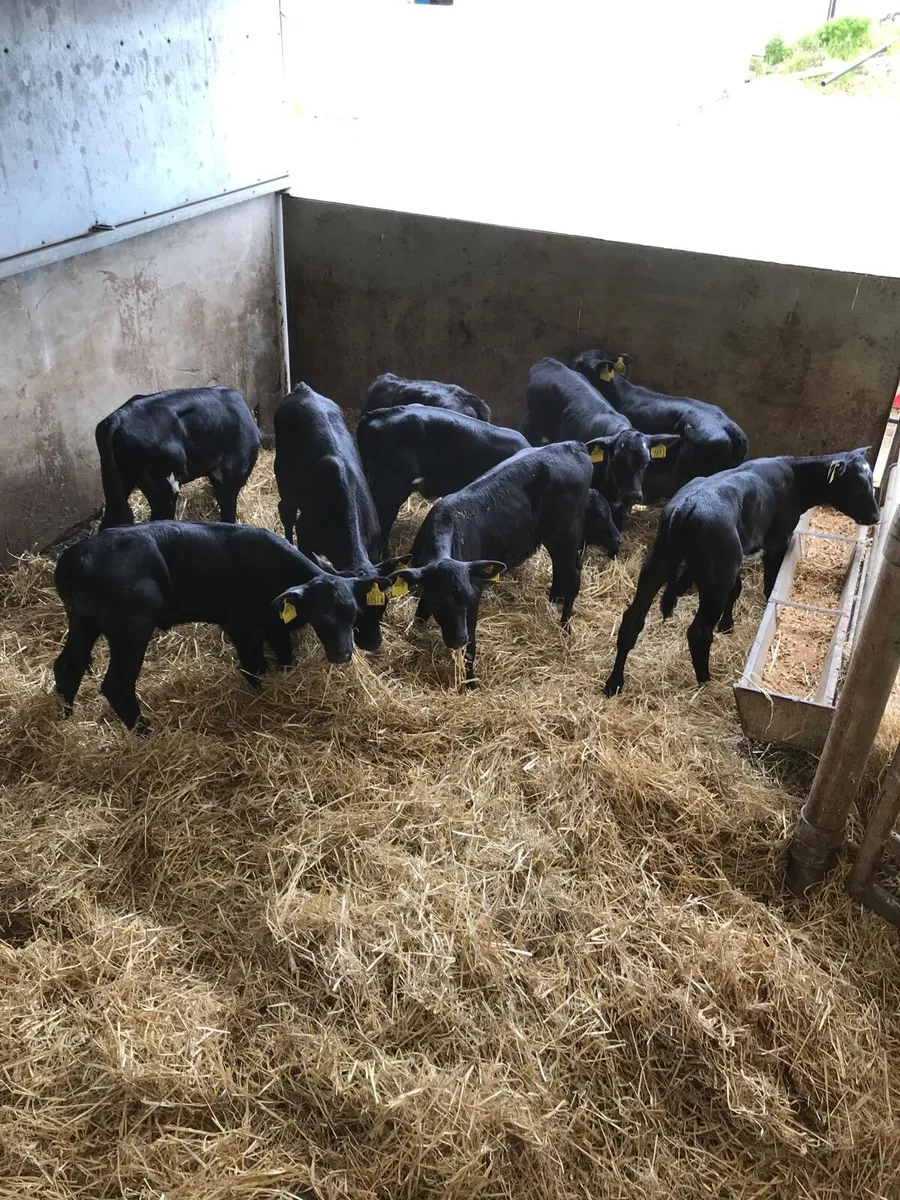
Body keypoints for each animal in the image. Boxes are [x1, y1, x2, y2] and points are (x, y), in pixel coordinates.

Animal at [53, 521, 391, 734]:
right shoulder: (243, 628)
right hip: (130, 628)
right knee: (117, 685)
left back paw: (64, 718)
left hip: (83, 620)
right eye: (321, 617)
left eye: (353, 614)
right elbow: (254, 668)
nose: (343, 654)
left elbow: (285, 655)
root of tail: (78, 555)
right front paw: (259, 699)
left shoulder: (273, 625)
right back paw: (145, 733)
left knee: (68, 666)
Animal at [273, 382, 407, 651]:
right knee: (286, 513)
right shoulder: (305, 535)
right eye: (357, 614)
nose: (373, 643)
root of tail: (303, 389)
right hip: (284, 481)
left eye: (383, 605)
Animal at [392, 442, 609, 684]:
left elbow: (471, 644)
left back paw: (564, 626)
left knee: (572, 576)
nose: (458, 638)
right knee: (561, 567)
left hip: (567, 534)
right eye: (438, 603)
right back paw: (554, 598)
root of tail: (573, 445)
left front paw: (470, 681)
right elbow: (419, 615)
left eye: (466, 600)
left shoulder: (475, 591)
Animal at [603, 447, 879, 696]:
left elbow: (737, 589)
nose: (876, 516)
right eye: (856, 485)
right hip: (715, 576)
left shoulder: (737, 555)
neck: (793, 477)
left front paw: (727, 625)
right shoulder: (774, 544)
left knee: (632, 621)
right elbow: (769, 583)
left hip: (662, 560)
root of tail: (686, 507)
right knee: (698, 631)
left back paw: (614, 683)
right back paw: (705, 680)